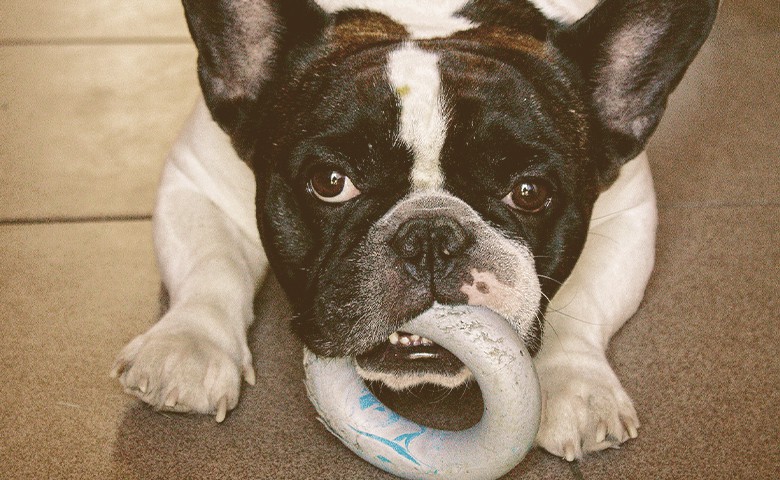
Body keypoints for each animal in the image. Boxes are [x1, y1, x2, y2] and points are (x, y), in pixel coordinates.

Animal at [111, 0, 720, 462]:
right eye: (330, 183)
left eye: (529, 193)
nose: (430, 236)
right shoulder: (198, 178)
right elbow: (211, 266)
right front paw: (184, 349)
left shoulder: (629, 210)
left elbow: (579, 302)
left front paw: (576, 386)